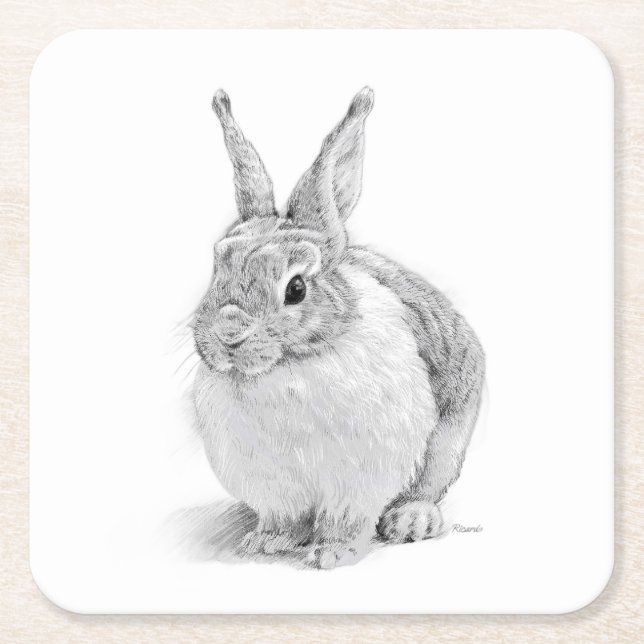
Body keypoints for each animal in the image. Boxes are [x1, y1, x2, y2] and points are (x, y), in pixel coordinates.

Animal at [192, 87, 485, 569]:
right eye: (217, 268)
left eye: (295, 288)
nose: (228, 336)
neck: (288, 367)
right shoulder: (274, 486)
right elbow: (285, 518)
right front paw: (267, 542)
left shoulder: (361, 477)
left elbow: (345, 518)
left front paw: (332, 553)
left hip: (447, 445)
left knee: (428, 487)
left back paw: (411, 521)